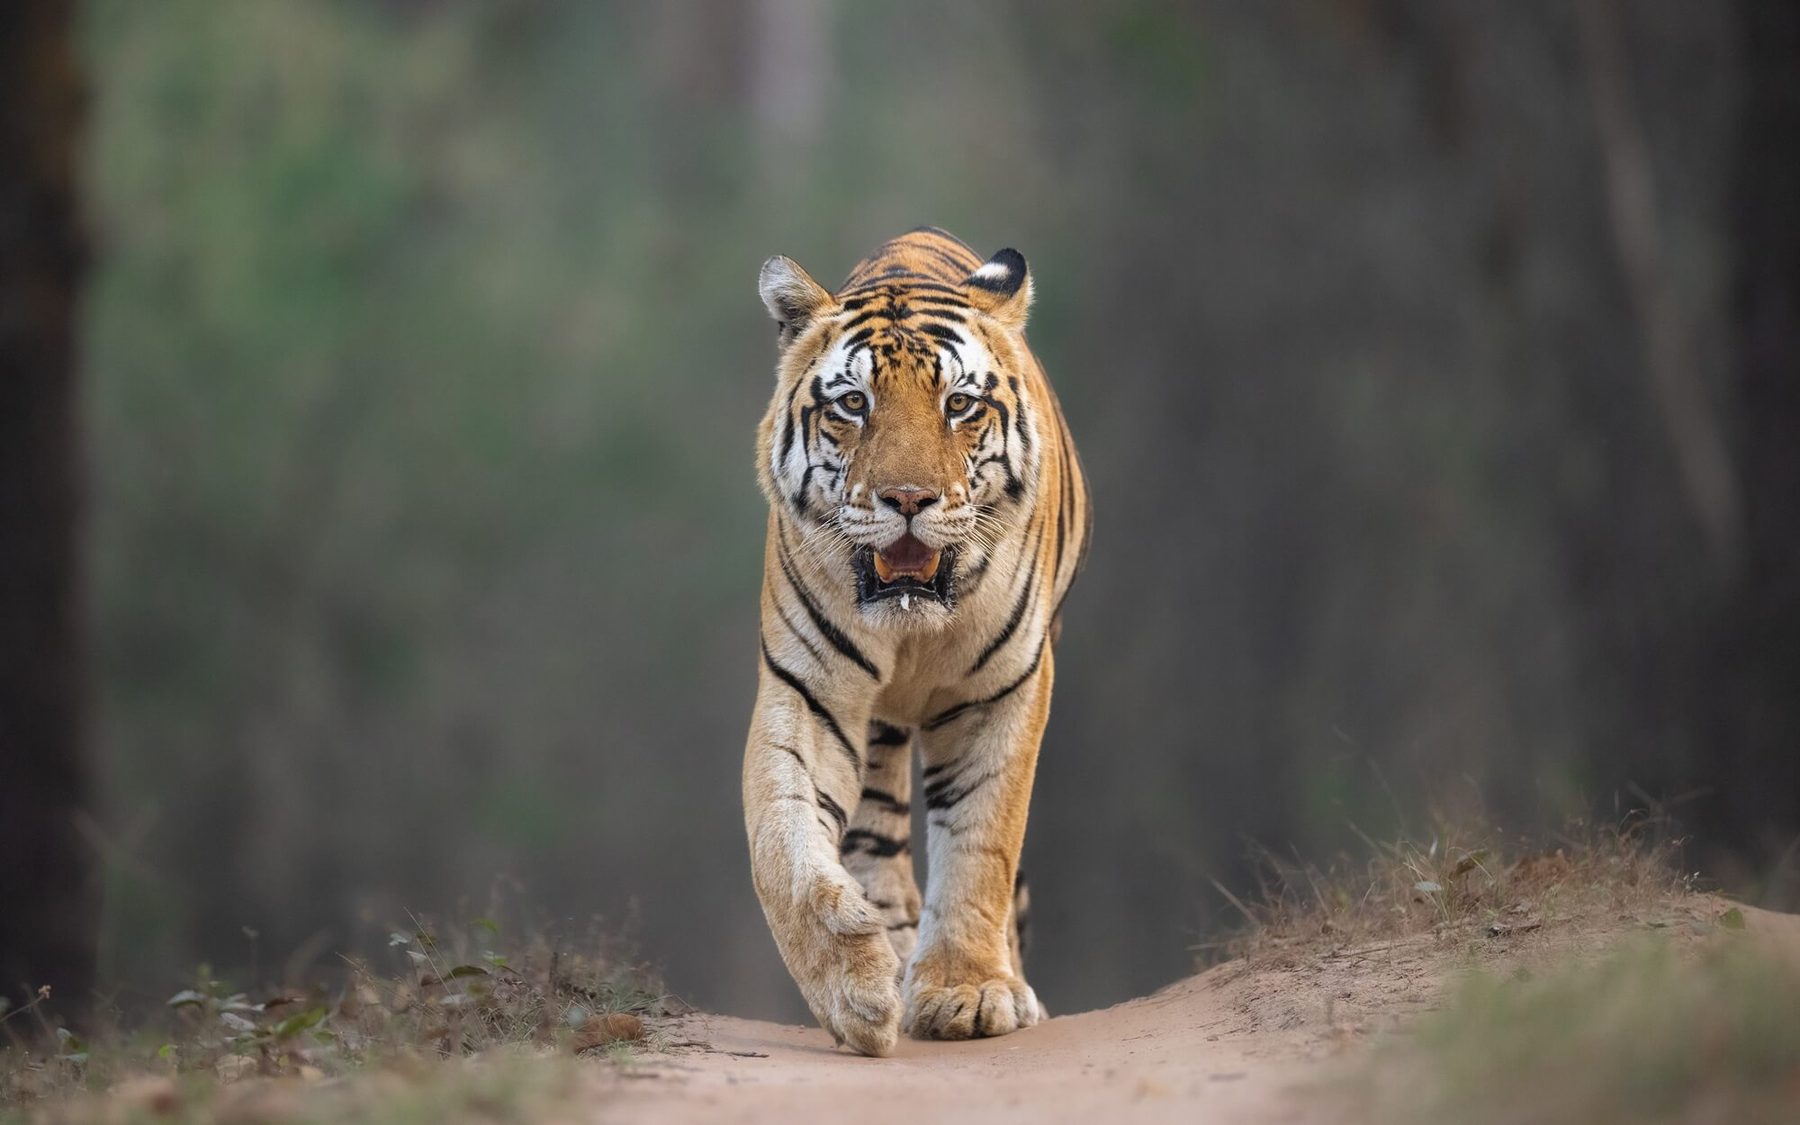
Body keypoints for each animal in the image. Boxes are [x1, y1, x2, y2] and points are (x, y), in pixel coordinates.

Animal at [742, 227, 1091, 1056]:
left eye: (958, 404)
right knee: (875, 835)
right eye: (853, 403)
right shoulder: (807, 691)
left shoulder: (1003, 690)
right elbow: (782, 840)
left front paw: (969, 992)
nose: (908, 498)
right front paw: (855, 984)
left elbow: (981, 840)